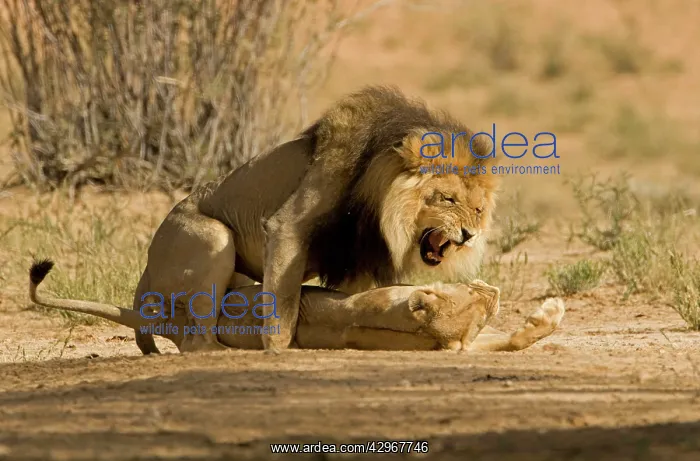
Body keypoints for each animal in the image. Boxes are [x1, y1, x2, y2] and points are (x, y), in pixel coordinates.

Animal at [62, 85, 501, 354]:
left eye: (478, 210)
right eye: (446, 199)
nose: (468, 235)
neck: (377, 201)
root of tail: (146, 273)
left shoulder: (356, 260)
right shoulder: (288, 227)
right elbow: (282, 306)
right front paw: (278, 349)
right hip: (212, 237)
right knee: (198, 338)